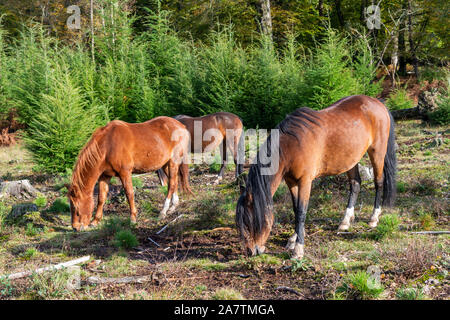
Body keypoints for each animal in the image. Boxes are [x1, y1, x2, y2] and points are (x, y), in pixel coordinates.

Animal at [236, 95, 398, 260]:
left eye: (253, 222)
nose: (252, 251)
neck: (292, 145)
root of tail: (378, 103)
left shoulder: (305, 182)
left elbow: (302, 211)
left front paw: (298, 249)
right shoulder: (291, 182)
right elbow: (296, 209)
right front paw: (294, 239)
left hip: (377, 152)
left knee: (378, 183)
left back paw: (373, 218)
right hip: (351, 159)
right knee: (355, 184)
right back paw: (345, 222)